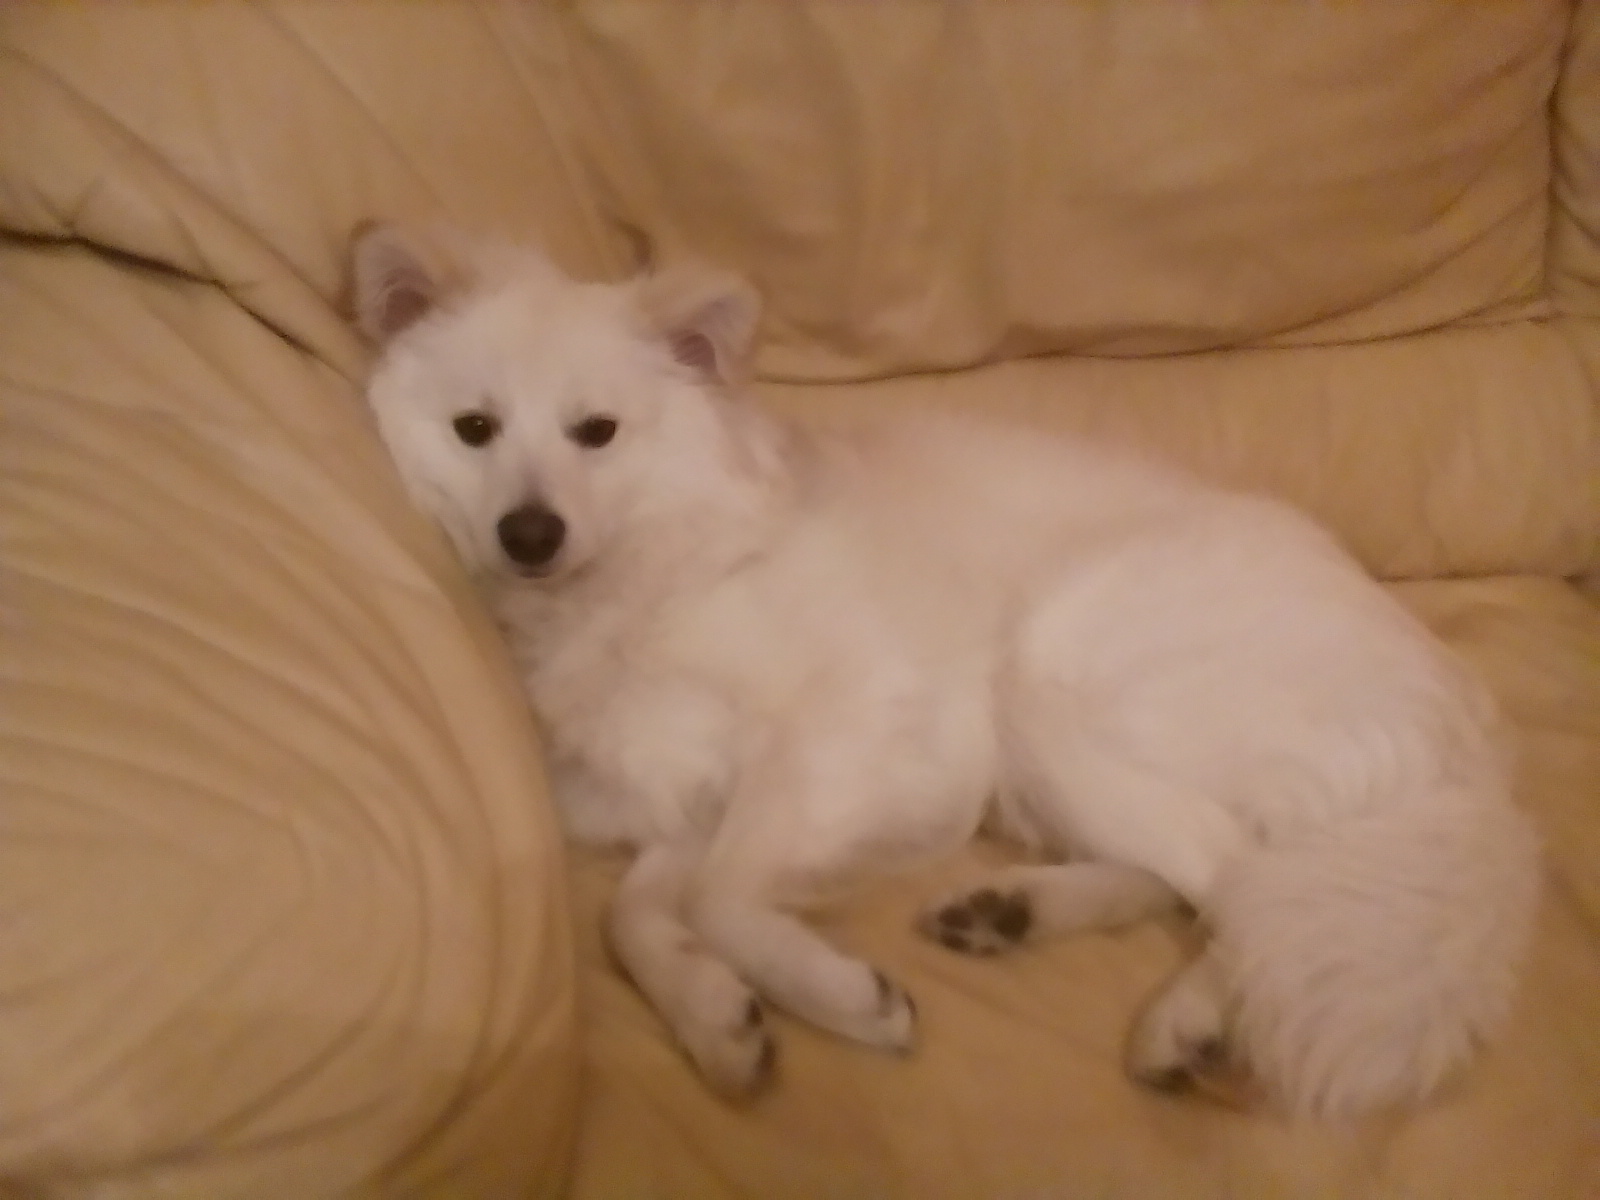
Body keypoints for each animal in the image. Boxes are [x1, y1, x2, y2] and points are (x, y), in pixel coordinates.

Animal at [350, 224, 1540, 1119]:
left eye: (596, 432)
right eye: (473, 429)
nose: (529, 534)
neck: (653, 569)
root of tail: (1461, 734)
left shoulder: (842, 736)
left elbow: (726, 895)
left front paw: (835, 995)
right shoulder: (692, 799)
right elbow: (638, 916)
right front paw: (717, 1021)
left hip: (1048, 682)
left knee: (1242, 874)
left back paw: (1187, 1018)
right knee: (1210, 877)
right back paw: (1015, 912)